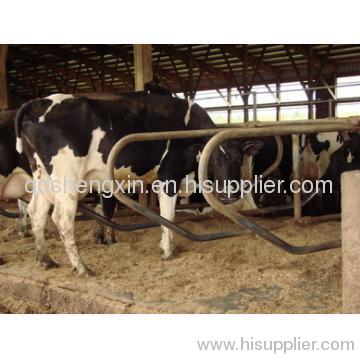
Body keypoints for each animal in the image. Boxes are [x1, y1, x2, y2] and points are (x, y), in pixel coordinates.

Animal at [15, 93, 262, 276]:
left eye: (239, 159)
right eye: (215, 159)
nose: (230, 195)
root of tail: (43, 101)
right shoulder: (169, 174)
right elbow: (168, 215)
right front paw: (168, 251)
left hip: (42, 176)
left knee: (36, 212)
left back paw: (46, 260)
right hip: (67, 178)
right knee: (62, 219)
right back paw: (82, 267)